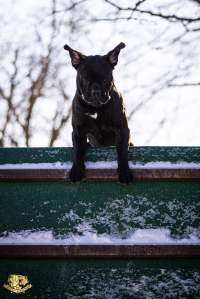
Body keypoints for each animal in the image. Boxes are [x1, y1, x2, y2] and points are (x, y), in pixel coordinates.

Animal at [63, 41, 134, 184]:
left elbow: (123, 150)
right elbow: (77, 151)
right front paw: (77, 170)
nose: (95, 91)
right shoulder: (78, 131)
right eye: (85, 80)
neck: (96, 108)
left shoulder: (122, 129)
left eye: (104, 80)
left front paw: (124, 172)